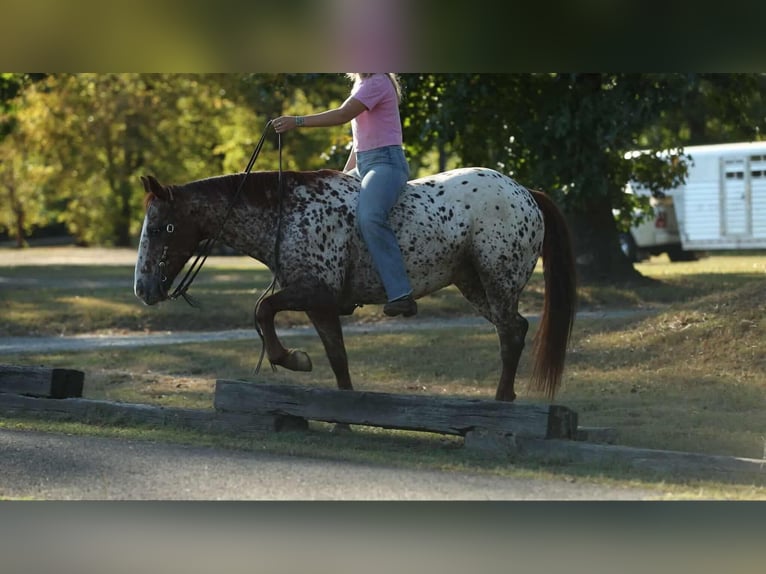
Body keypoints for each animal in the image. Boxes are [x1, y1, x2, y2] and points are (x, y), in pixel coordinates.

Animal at [134, 167, 576, 402]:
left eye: (158, 228)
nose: (143, 289)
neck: (286, 215)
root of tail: (525, 192)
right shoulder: (319, 306)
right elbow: (337, 357)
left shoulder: (315, 292)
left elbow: (262, 309)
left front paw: (291, 358)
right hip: (473, 284)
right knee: (513, 328)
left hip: (497, 280)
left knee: (511, 334)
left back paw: (501, 401)